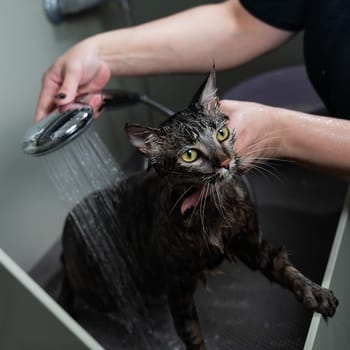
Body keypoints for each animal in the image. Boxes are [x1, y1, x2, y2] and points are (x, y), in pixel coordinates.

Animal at [58, 69, 338, 348]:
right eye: (190, 155)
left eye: (221, 134)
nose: (225, 162)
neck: (215, 208)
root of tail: (69, 221)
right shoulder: (178, 288)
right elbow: (192, 335)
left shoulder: (251, 244)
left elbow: (285, 267)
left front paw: (315, 292)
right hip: (101, 287)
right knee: (73, 280)